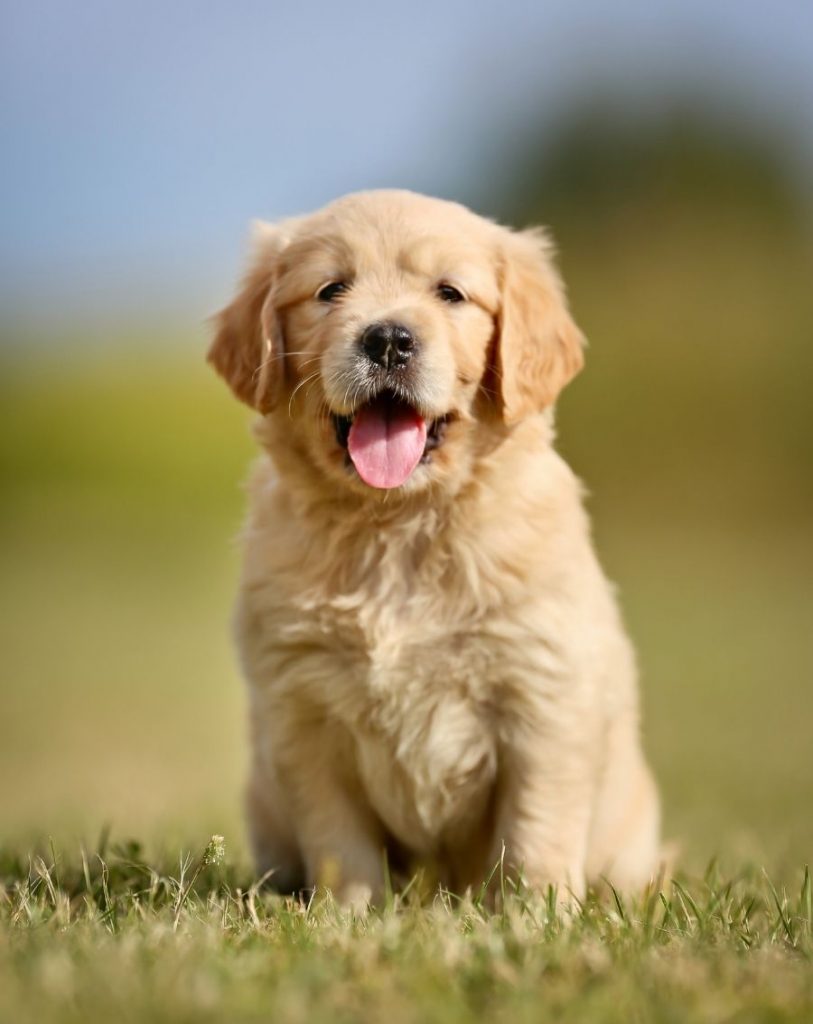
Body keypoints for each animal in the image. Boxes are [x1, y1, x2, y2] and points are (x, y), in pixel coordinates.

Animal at [208, 190, 659, 905]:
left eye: (450, 293)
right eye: (330, 290)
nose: (389, 338)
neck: (400, 524)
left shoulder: (545, 697)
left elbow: (536, 831)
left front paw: (535, 917)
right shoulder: (301, 708)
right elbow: (339, 841)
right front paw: (347, 917)